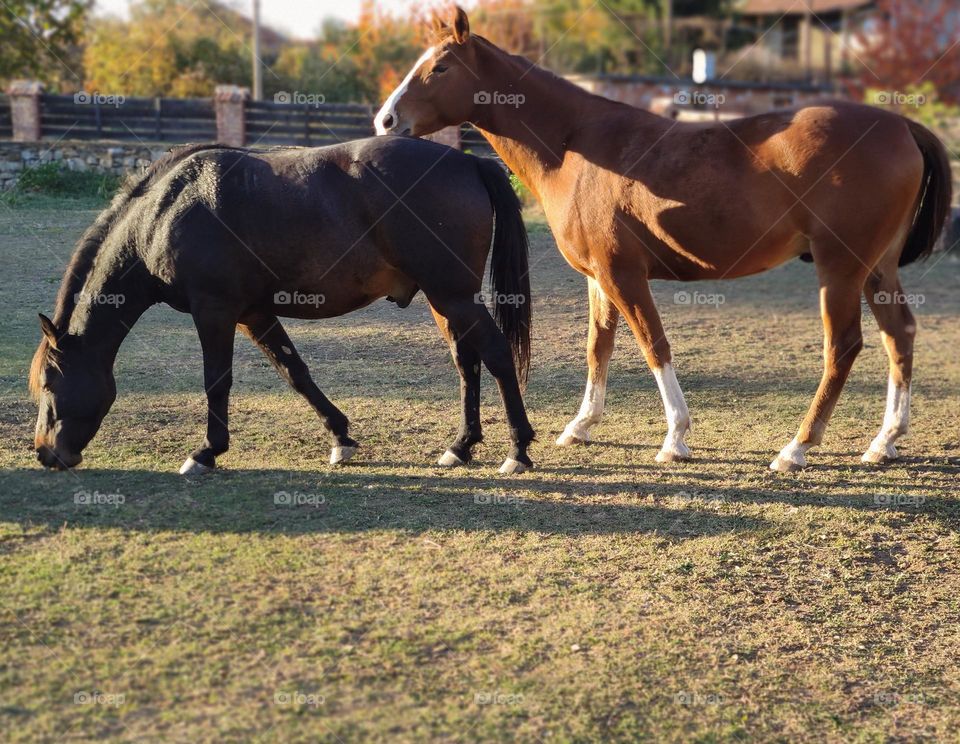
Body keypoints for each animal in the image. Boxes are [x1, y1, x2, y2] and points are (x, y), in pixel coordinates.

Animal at [30, 138, 536, 476]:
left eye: (50, 384)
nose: (45, 453)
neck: (164, 212)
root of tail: (468, 161)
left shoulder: (214, 312)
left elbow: (217, 382)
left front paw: (206, 452)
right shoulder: (254, 314)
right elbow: (295, 373)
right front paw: (340, 437)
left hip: (453, 296)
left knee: (496, 356)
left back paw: (518, 450)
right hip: (444, 300)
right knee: (467, 363)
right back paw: (462, 446)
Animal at [376, 5, 952, 470]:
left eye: (440, 67)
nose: (385, 120)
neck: (577, 145)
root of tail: (900, 126)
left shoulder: (623, 275)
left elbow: (654, 344)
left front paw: (675, 437)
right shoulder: (598, 279)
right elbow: (598, 347)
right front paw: (580, 426)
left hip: (840, 269)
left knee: (844, 346)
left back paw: (798, 447)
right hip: (876, 269)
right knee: (899, 335)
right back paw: (884, 440)